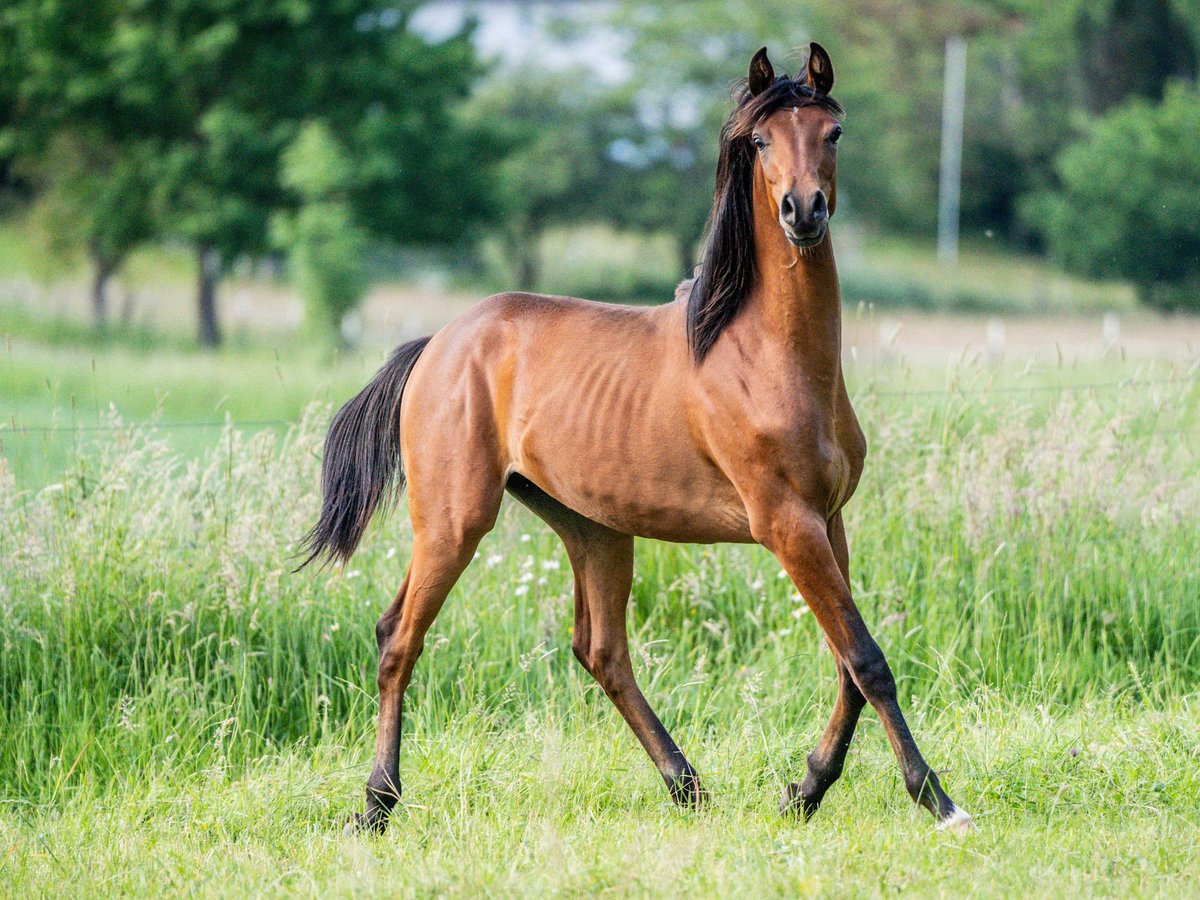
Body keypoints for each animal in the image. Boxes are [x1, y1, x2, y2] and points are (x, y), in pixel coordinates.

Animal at [302, 44, 974, 840]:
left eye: (832, 132)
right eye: (759, 141)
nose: (802, 211)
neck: (767, 356)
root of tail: (438, 343)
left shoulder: (828, 520)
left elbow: (847, 661)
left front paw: (806, 789)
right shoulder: (787, 524)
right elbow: (866, 659)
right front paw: (939, 801)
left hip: (592, 528)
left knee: (601, 652)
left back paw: (686, 786)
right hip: (453, 521)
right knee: (398, 636)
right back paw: (377, 802)